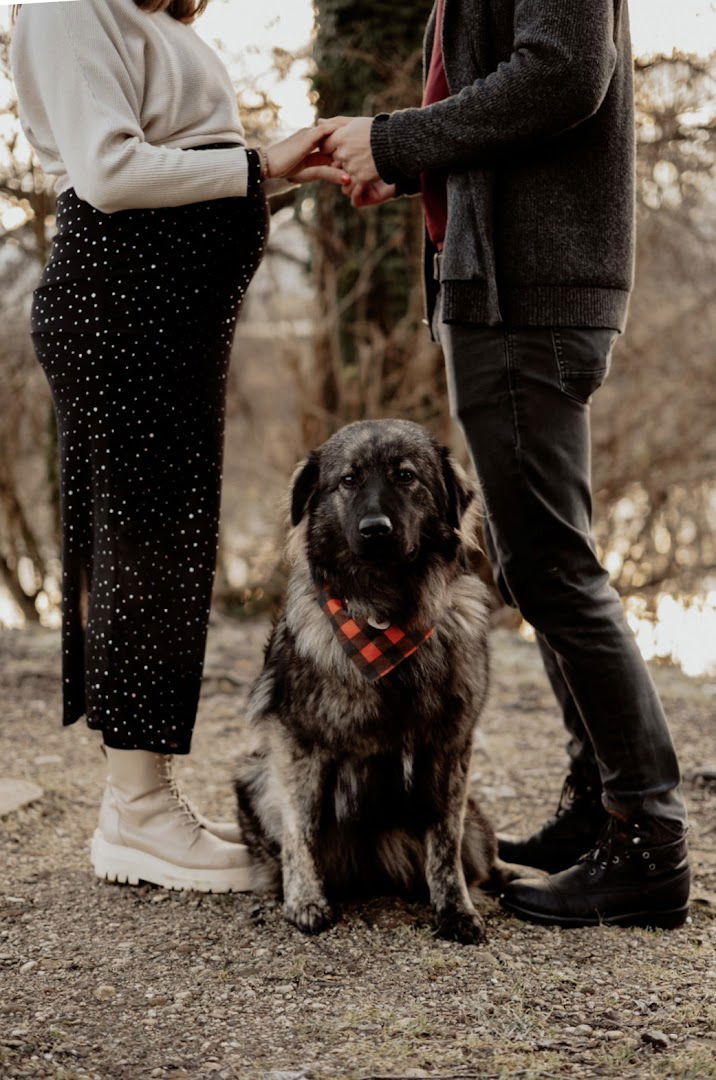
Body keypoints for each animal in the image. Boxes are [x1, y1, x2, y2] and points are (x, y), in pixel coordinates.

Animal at [235, 416, 498, 941]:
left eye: (406, 476)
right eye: (349, 480)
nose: (375, 530)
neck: (385, 614)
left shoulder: (451, 748)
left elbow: (445, 840)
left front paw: (455, 909)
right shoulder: (300, 744)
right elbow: (301, 829)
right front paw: (306, 901)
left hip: (480, 826)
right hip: (254, 784)